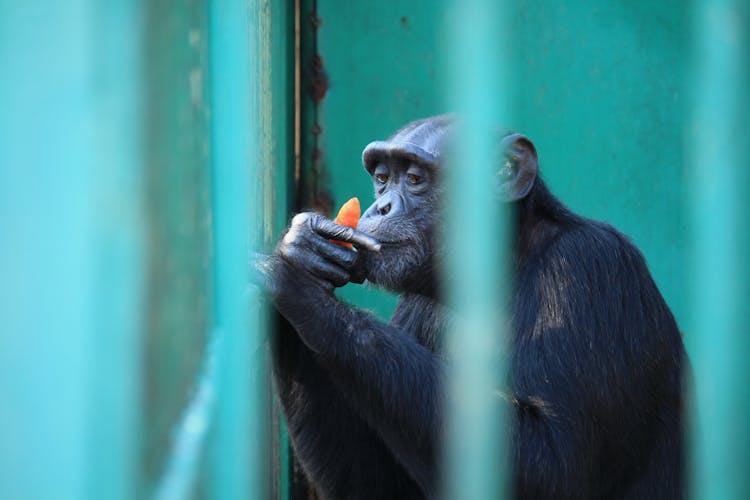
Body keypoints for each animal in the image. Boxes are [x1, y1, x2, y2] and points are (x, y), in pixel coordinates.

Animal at [268, 115, 692, 498]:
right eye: (383, 178)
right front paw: (302, 248)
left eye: (415, 179)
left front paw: (299, 289)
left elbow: (554, 462)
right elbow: (377, 483)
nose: (380, 207)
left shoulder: (588, 268)